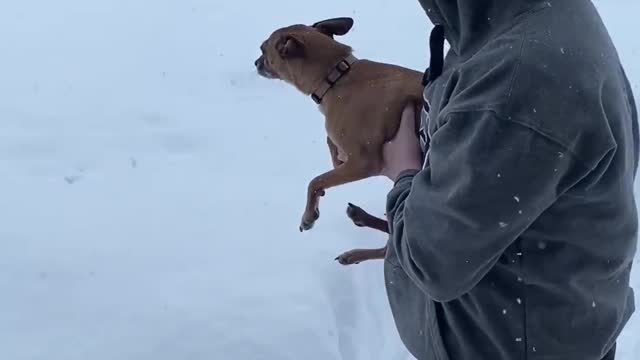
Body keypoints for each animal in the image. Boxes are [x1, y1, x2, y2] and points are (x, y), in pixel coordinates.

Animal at [255, 16, 424, 264]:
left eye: (263, 49)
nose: (256, 62)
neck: (335, 78)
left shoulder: (364, 163)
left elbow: (315, 181)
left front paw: (308, 216)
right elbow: (330, 150)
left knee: (390, 247)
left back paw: (355, 250)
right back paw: (360, 218)